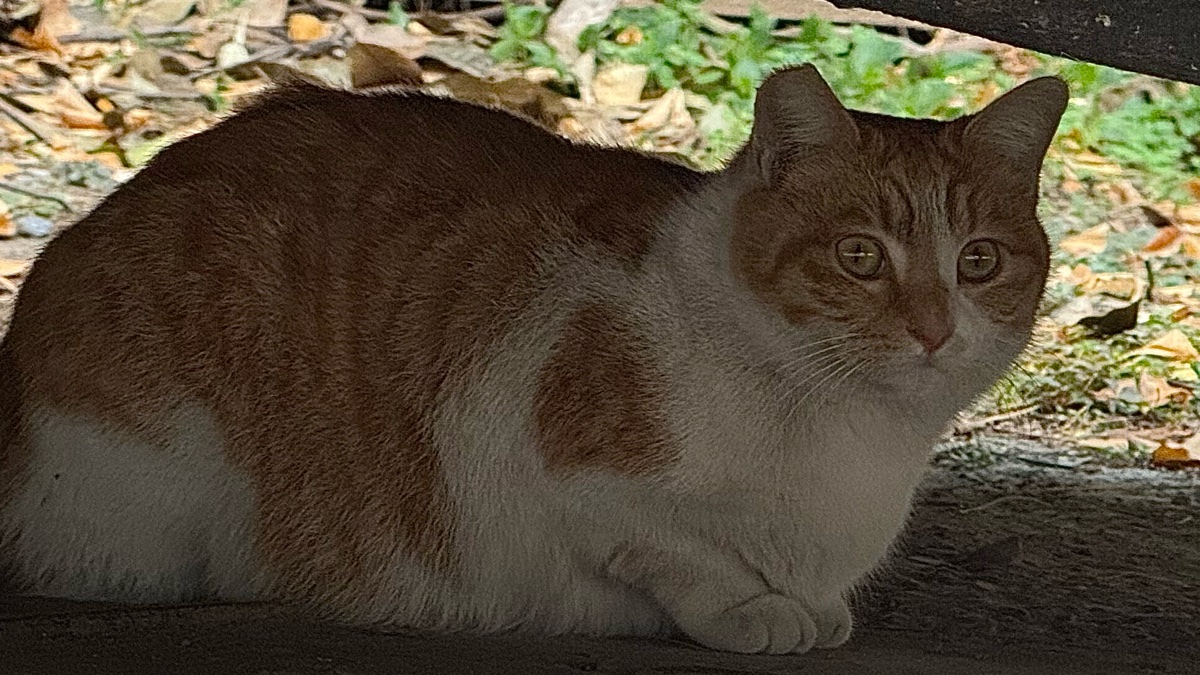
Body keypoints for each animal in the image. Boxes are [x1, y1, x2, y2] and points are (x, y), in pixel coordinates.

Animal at [0, 64, 1067, 654]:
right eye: (859, 256)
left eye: (978, 261)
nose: (935, 328)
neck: (847, 437)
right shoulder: (553, 469)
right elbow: (675, 553)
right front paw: (750, 609)